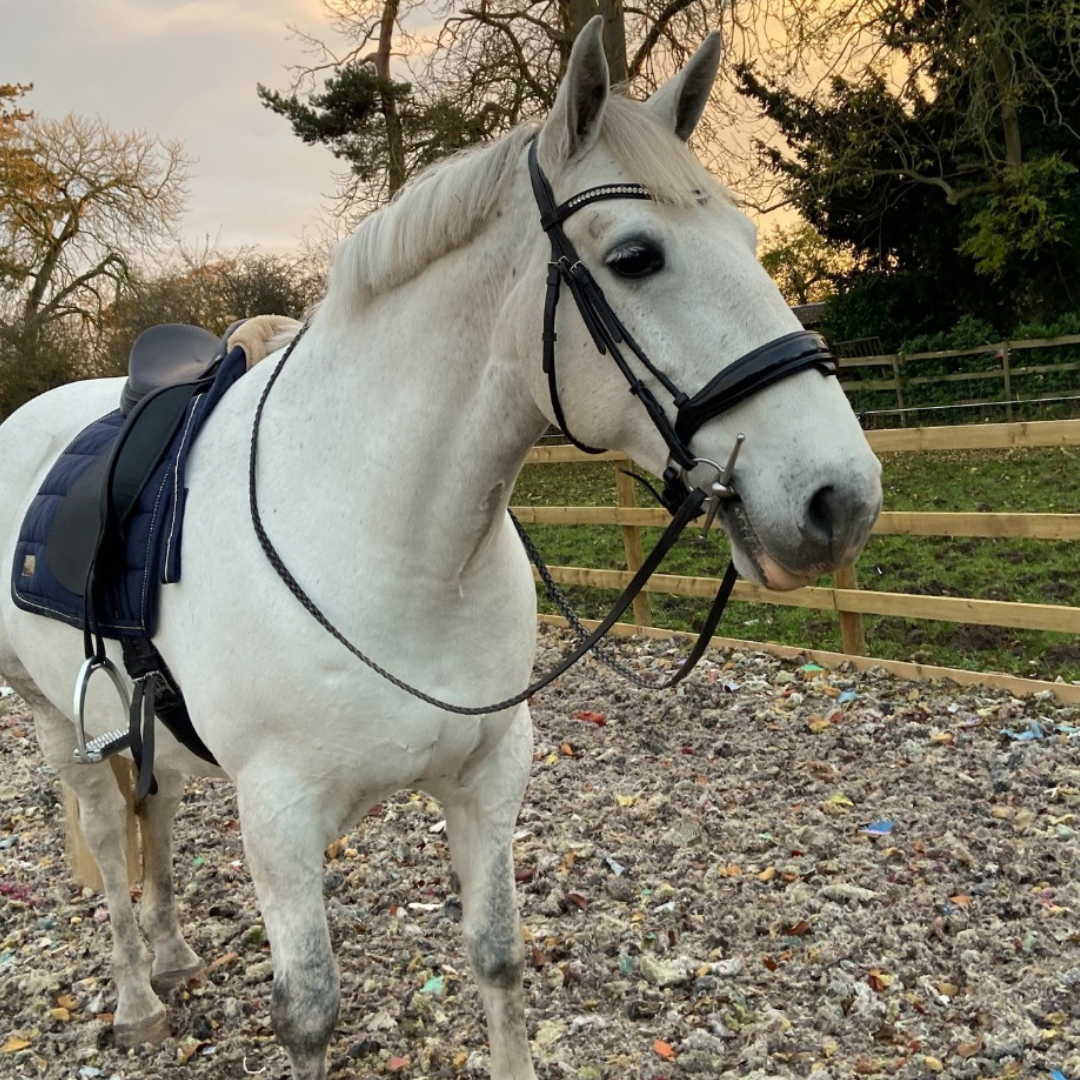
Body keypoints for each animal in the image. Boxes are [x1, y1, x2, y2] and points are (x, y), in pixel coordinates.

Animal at [0, 21, 881, 1080]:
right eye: (636, 257)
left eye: (752, 242)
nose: (841, 498)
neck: (390, 541)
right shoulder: (280, 816)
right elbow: (309, 1013)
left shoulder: (490, 773)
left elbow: (496, 956)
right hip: (56, 719)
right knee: (102, 830)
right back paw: (138, 997)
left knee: (156, 809)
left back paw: (173, 956)